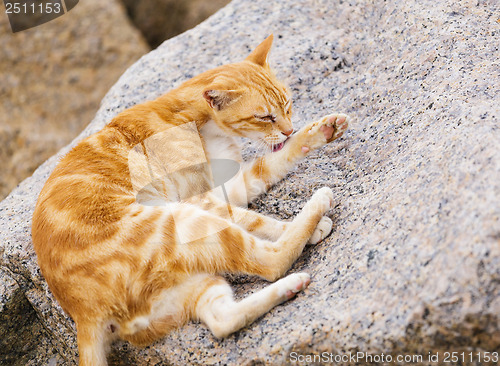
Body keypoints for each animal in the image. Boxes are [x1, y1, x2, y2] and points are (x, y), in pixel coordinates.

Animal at [31, 35, 348, 366]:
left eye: (287, 104)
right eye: (263, 116)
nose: (288, 129)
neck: (198, 121)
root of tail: (83, 315)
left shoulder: (228, 186)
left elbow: (271, 164)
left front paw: (321, 132)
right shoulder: (201, 198)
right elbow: (256, 219)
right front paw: (308, 227)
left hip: (194, 288)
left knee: (223, 321)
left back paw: (289, 288)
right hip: (183, 221)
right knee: (269, 260)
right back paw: (316, 206)